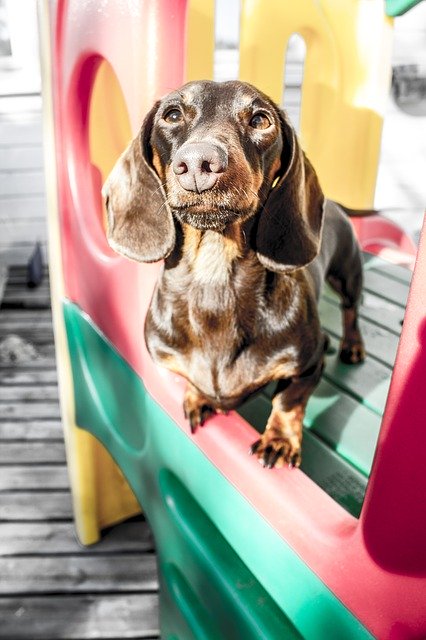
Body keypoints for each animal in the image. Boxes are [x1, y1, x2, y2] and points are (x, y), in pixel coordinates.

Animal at [101, 80, 364, 470]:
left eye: (260, 120)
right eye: (172, 115)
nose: (199, 162)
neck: (214, 278)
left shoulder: (308, 366)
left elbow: (288, 401)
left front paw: (279, 440)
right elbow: (193, 382)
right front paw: (197, 397)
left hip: (347, 274)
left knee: (351, 310)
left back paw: (352, 345)